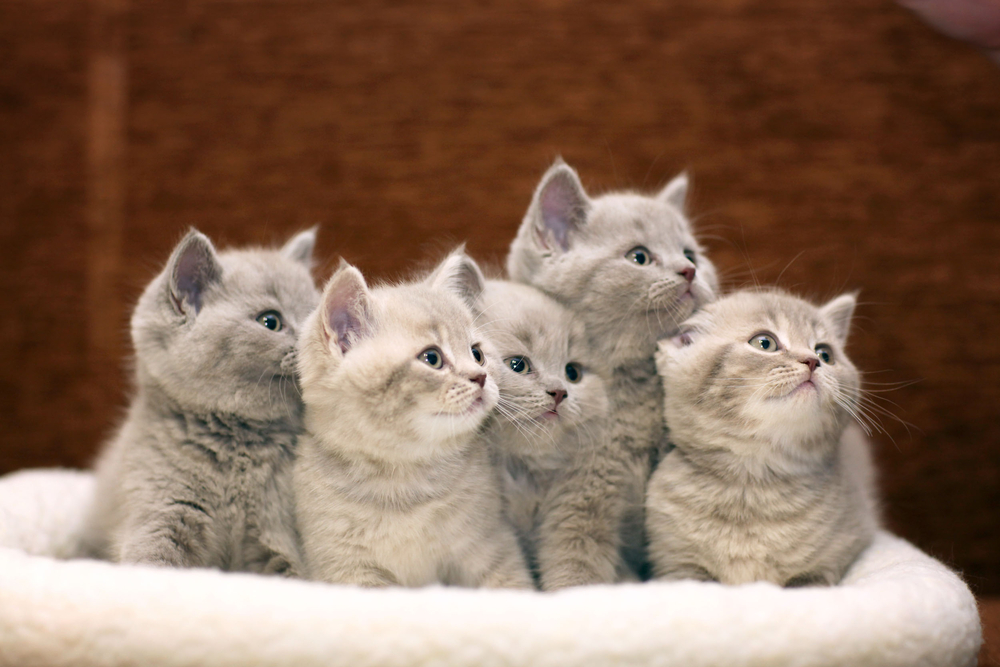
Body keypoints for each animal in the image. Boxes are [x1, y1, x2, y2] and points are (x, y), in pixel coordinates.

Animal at [80, 228, 318, 576]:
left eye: (316, 315)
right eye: (270, 321)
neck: (238, 445)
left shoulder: (276, 532)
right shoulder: (161, 510)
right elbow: (152, 561)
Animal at [292, 252, 536, 588]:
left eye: (477, 354)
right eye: (432, 358)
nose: (481, 377)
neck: (405, 482)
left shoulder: (492, 545)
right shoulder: (345, 565)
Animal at [474, 280, 608, 592]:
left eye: (573, 372)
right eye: (518, 365)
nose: (559, 392)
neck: (523, 473)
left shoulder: (573, 511)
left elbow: (574, 568)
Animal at [648, 290, 876, 588]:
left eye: (825, 353)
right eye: (765, 343)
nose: (812, 361)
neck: (753, 480)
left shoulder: (831, 560)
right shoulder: (677, 564)